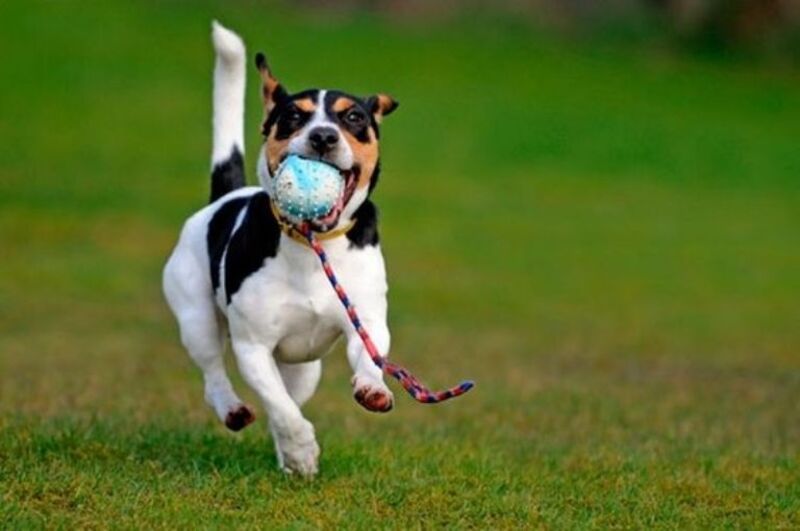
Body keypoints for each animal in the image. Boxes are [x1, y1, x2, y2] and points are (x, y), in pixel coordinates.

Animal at [163, 21, 400, 478]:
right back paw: (235, 410)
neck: (311, 244)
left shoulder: (365, 321)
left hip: (305, 367)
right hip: (195, 313)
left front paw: (373, 388)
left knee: (291, 392)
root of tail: (226, 196)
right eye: (293, 116)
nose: (323, 136)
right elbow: (282, 409)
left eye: (354, 117)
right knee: (215, 373)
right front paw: (302, 450)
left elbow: (368, 356)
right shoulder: (253, 347)